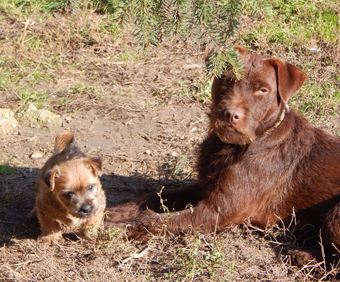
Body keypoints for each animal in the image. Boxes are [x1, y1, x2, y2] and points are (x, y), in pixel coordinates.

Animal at [103, 46, 340, 253]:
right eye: (227, 79)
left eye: (263, 90)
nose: (230, 114)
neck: (238, 146)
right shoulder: (205, 186)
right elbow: (153, 197)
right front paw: (115, 212)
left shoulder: (219, 211)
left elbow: (154, 219)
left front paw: (112, 228)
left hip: (333, 214)